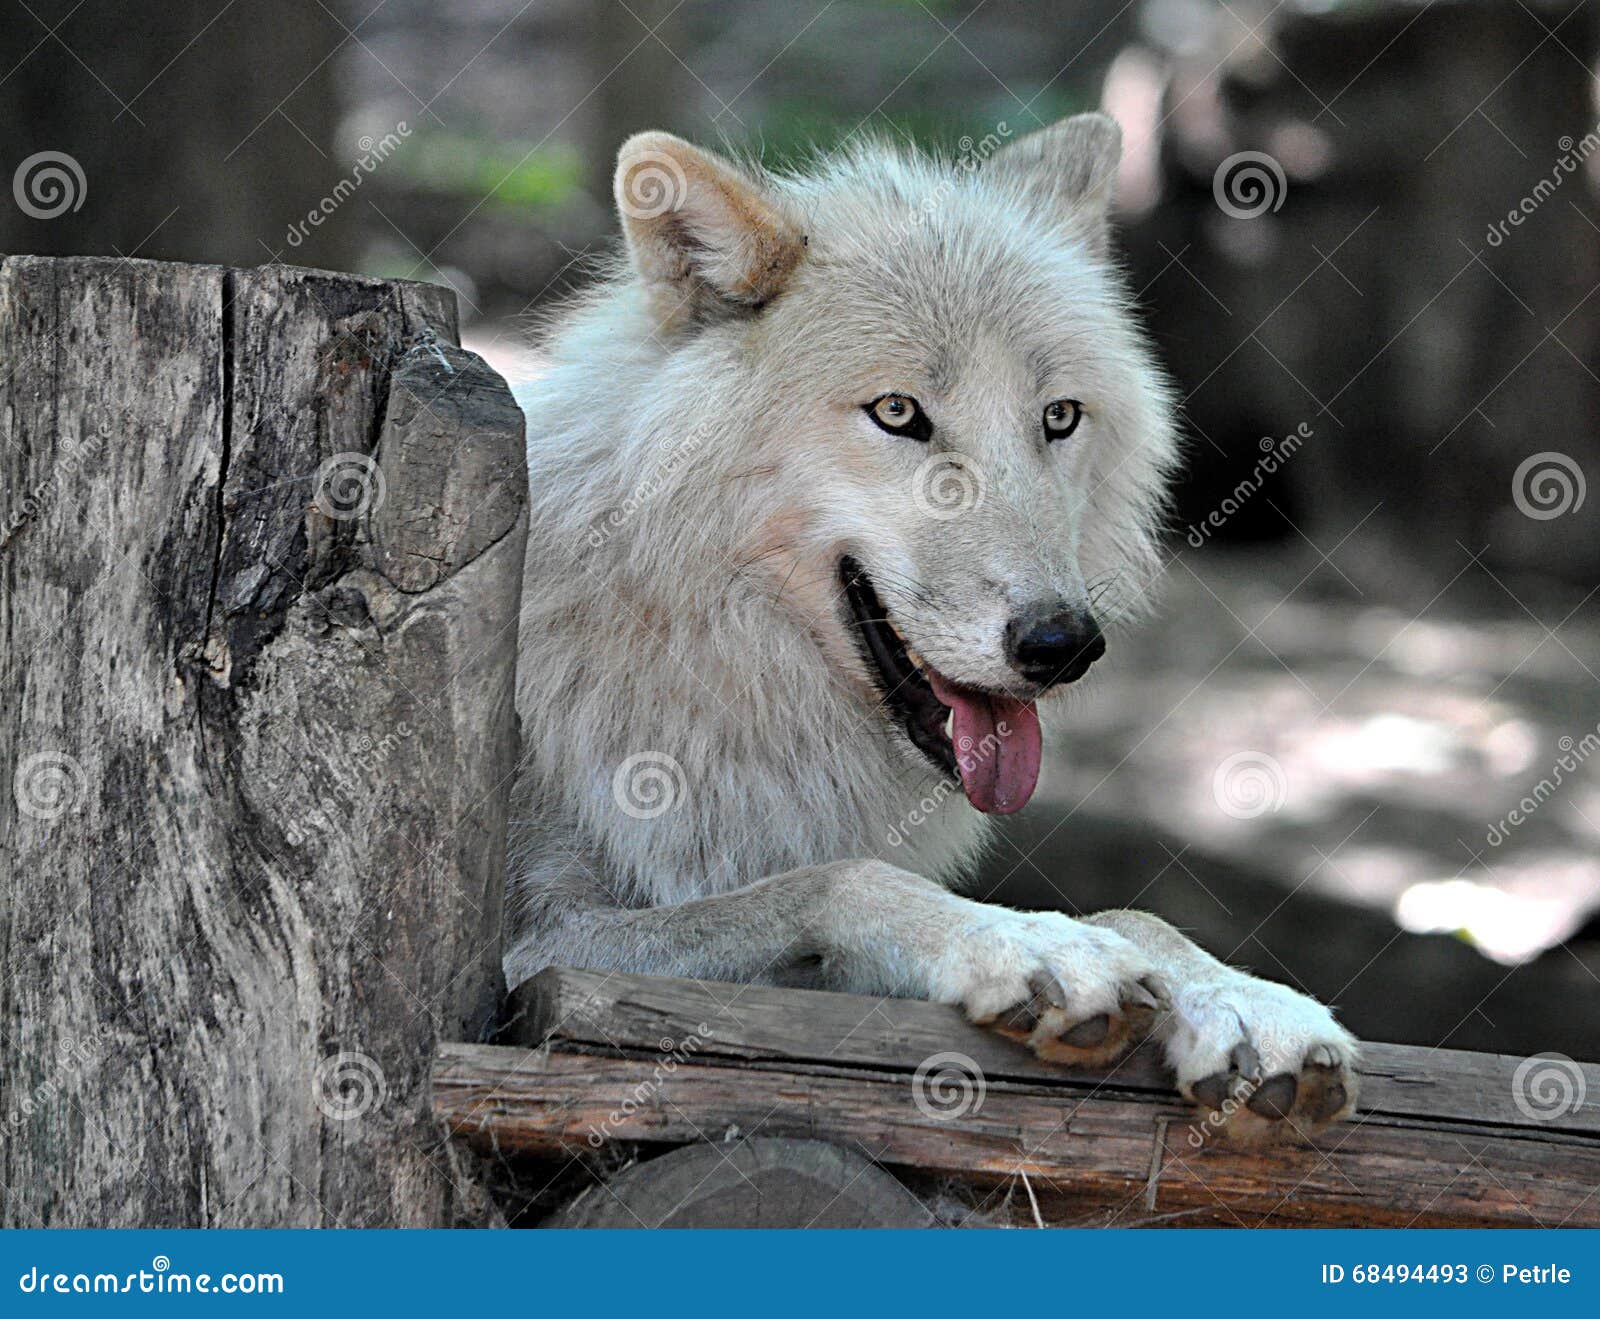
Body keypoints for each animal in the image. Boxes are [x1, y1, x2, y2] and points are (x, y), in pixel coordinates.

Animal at [506, 113, 1356, 1141]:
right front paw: (1020, 943)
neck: (696, 655)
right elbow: (841, 879)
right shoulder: (529, 953)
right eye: (898, 412)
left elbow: (1135, 916)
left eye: (1058, 417)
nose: (1063, 644)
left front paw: (1243, 998)